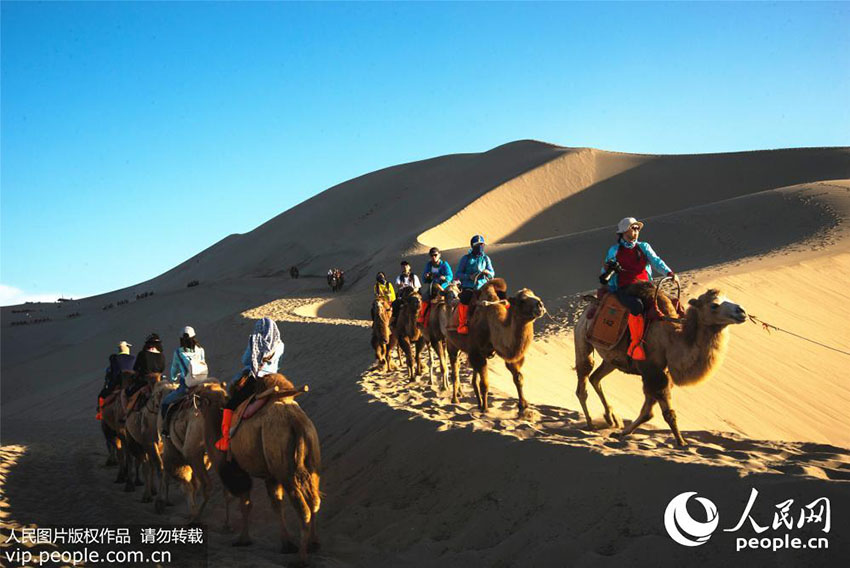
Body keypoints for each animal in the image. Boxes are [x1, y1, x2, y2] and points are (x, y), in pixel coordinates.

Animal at [194, 372, 320, 564]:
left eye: (202, 394)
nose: (192, 395)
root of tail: (296, 422)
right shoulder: (270, 476)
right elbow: (276, 504)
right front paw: (286, 544)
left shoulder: (237, 470)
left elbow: (245, 503)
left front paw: (243, 539)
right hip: (311, 463)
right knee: (314, 502)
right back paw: (313, 544)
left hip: (286, 472)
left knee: (303, 509)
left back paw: (301, 558)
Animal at [444, 280, 544, 418]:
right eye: (522, 300)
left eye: (534, 295)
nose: (540, 305)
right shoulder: (477, 352)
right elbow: (485, 384)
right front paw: (486, 409)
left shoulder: (503, 354)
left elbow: (518, 378)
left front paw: (523, 407)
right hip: (451, 344)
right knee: (455, 371)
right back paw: (456, 399)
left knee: (473, 377)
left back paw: (478, 403)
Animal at [572, 286, 744, 446]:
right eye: (714, 305)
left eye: (728, 298)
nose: (742, 311)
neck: (671, 341)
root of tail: (588, 307)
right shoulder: (653, 371)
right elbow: (666, 413)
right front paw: (681, 442)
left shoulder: (661, 374)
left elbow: (647, 412)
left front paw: (621, 432)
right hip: (582, 338)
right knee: (583, 381)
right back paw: (591, 424)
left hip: (612, 360)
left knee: (595, 377)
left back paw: (612, 419)